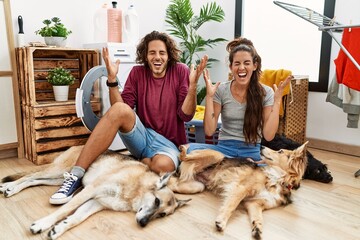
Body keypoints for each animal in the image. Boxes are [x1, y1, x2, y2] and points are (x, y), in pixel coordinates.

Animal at [170, 142, 308, 240]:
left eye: (280, 151)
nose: (261, 146)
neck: (278, 180)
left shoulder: (255, 203)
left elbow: (258, 218)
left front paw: (257, 229)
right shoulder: (240, 188)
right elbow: (231, 206)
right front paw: (221, 221)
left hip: (197, 186)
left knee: (172, 184)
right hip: (217, 156)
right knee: (183, 157)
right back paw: (183, 149)